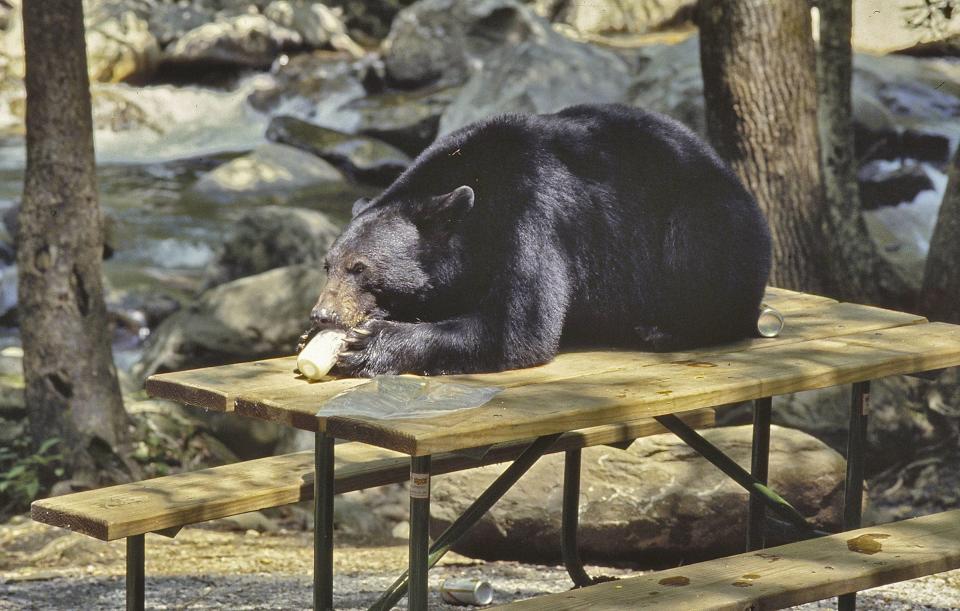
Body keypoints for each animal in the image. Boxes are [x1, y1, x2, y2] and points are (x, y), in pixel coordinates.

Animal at [306, 103, 772, 376]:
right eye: (328, 265)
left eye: (360, 268)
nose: (322, 315)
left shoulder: (534, 214)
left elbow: (518, 328)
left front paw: (368, 345)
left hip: (704, 219)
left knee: (695, 255)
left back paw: (661, 330)